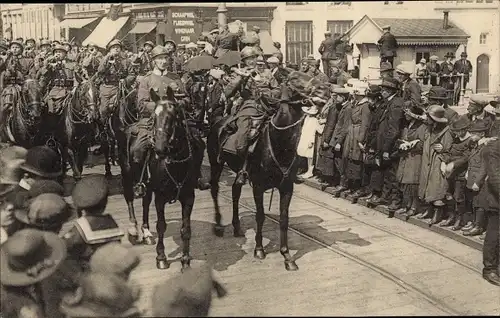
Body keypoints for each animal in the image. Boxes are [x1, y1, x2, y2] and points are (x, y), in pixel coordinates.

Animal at [125, 87, 199, 270]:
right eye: (154, 117)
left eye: (174, 115)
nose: (159, 148)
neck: (176, 164)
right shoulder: (160, 197)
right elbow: (161, 226)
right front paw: (161, 257)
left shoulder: (189, 197)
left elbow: (186, 229)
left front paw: (185, 260)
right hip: (127, 175)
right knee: (129, 198)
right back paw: (134, 229)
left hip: (147, 185)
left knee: (145, 203)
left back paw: (146, 232)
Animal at [207, 82, 312, 270]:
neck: (279, 144)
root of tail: (218, 122)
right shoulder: (258, 186)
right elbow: (260, 215)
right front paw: (259, 249)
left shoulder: (287, 187)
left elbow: (284, 219)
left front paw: (287, 256)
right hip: (216, 163)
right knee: (214, 189)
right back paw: (218, 225)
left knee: (235, 190)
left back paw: (237, 227)